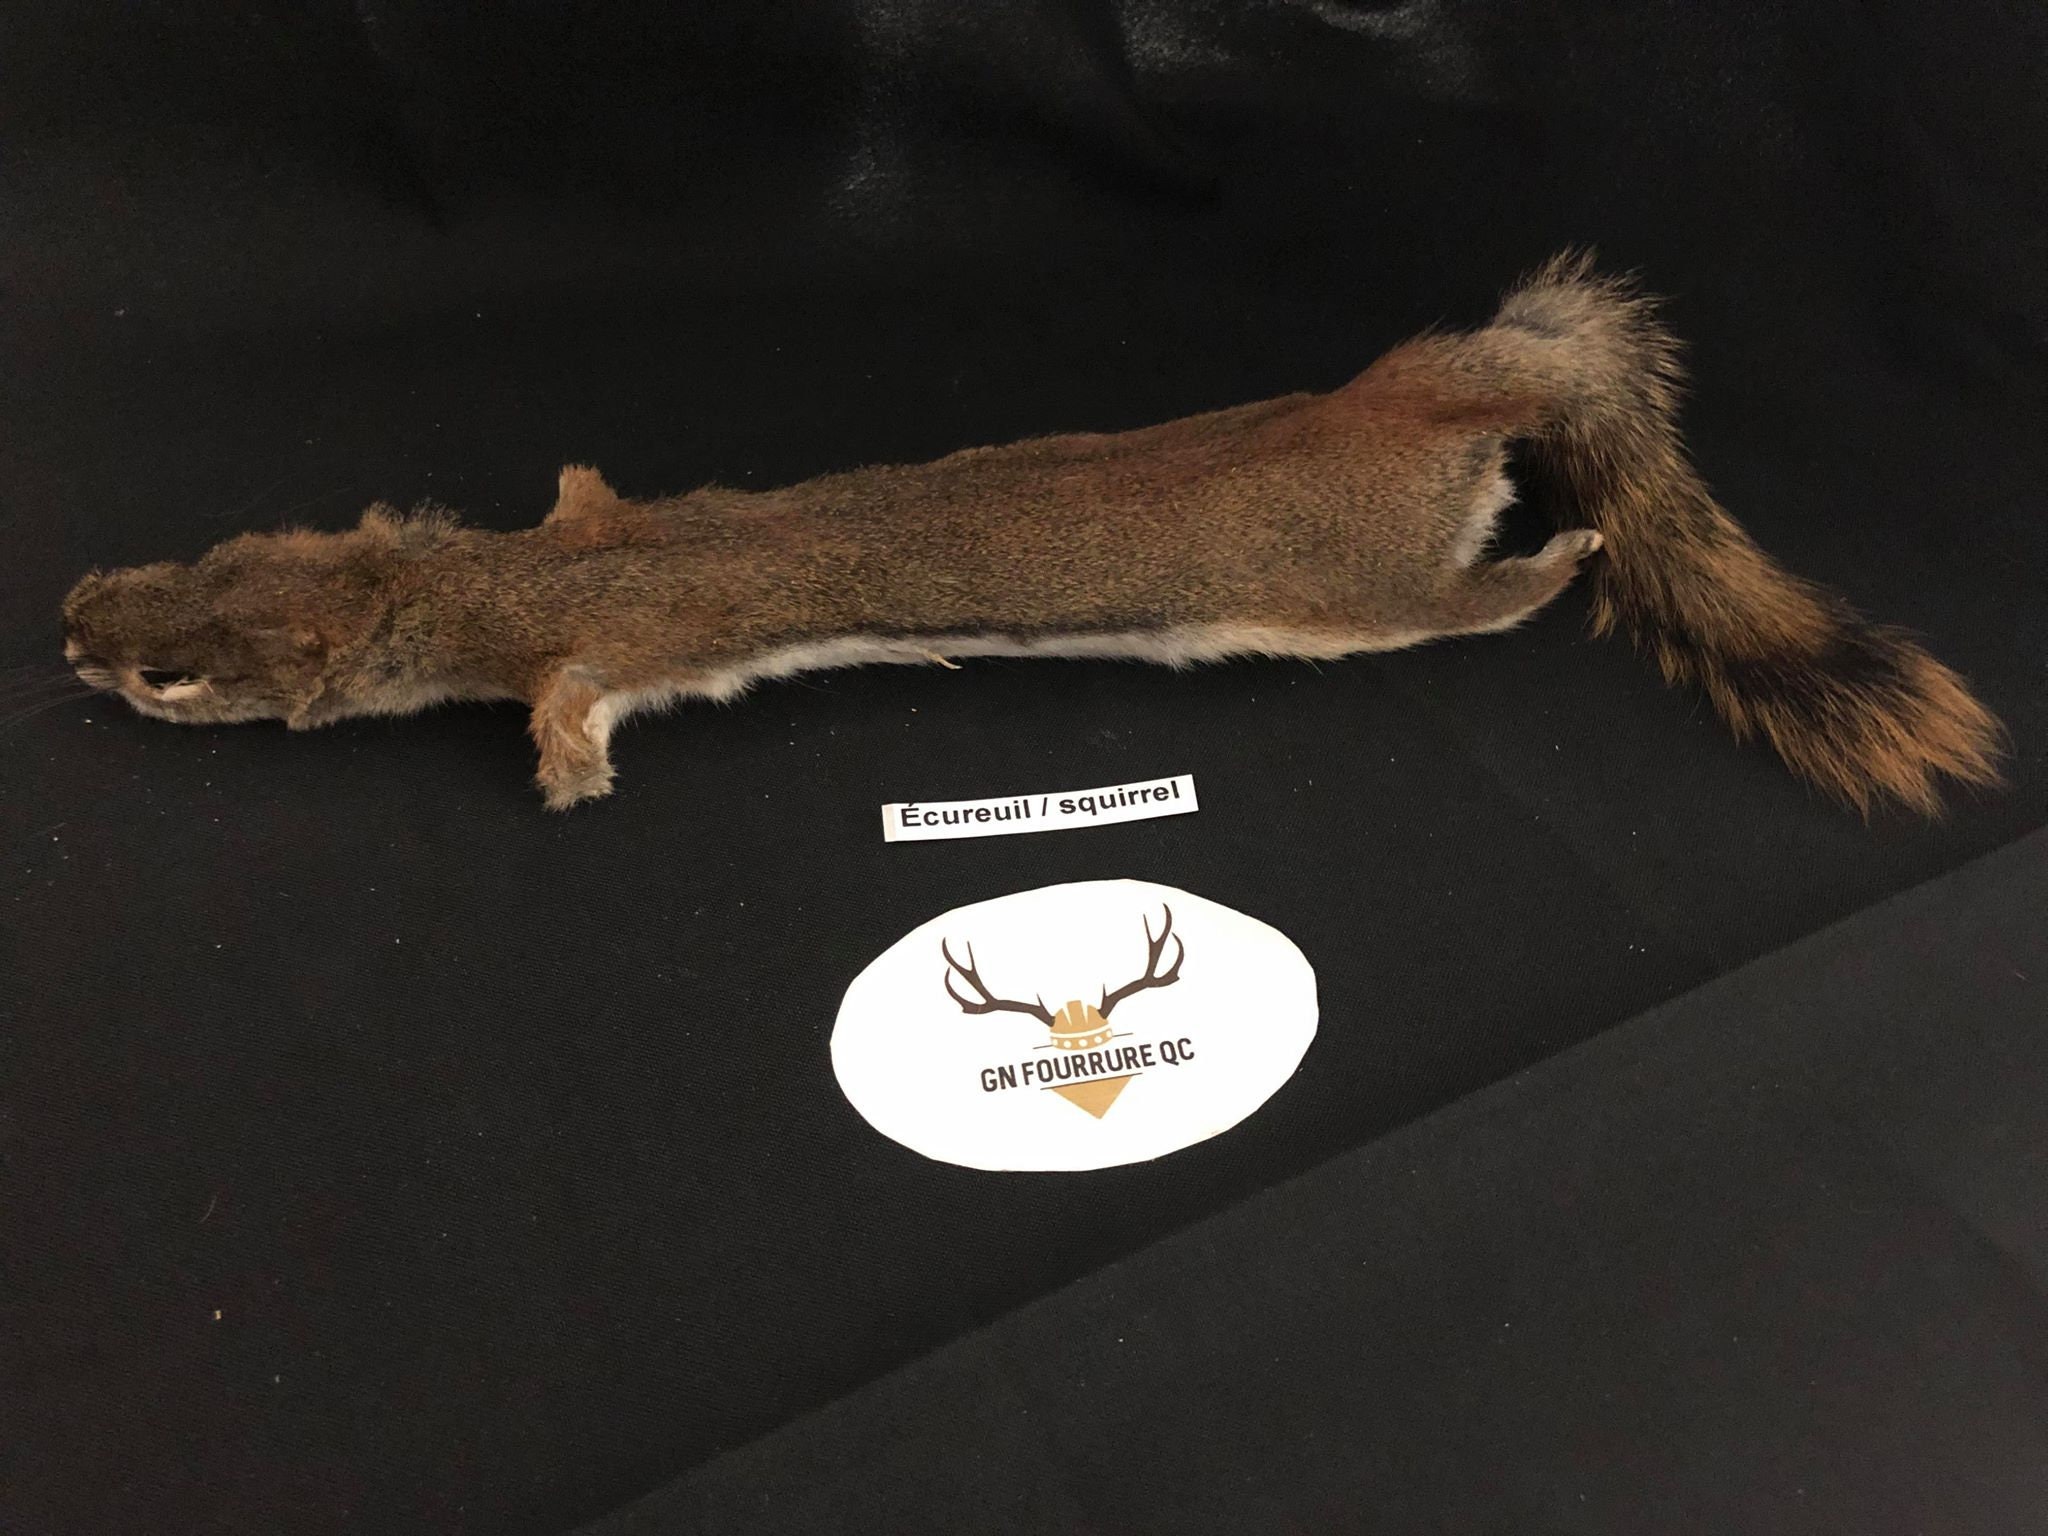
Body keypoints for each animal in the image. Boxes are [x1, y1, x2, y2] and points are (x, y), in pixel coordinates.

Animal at [62, 255, 2001, 813]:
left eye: (171, 680)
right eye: (174, 568)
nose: (66, 625)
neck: (480, 578)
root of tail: (1408, 396)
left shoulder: (588, 647)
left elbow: (574, 713)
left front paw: (565, 776)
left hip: (1356, 589)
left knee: (1473, 596)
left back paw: (1568, 561)